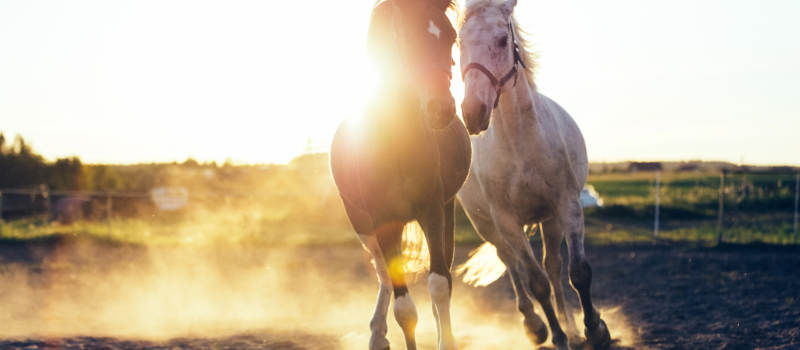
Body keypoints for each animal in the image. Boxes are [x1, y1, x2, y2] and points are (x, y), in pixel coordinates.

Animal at [330, 0, 468, 350]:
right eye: (407, 40)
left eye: (451, 37)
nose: (441, 108)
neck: (396, 143)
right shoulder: (382, 221)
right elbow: (404, 307)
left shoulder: (433, 211)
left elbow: (439, 285)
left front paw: (446, 341)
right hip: (363, 226)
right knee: (383, 275)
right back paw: (377, 333)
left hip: (447, 213)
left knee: (443, 279)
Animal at [456, 0, 612, 350]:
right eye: (459, 43)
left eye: (502, 40)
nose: (473, 112)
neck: (520, 143)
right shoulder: (506, 222)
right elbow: (535, 282)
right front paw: (556, 336)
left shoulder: (567, 205)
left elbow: (578, 272)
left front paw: (595, 329)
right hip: (486, 225)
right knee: (510, 263)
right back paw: (535, 326)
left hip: (549, 220)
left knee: (554, 266)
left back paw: (572, 327)